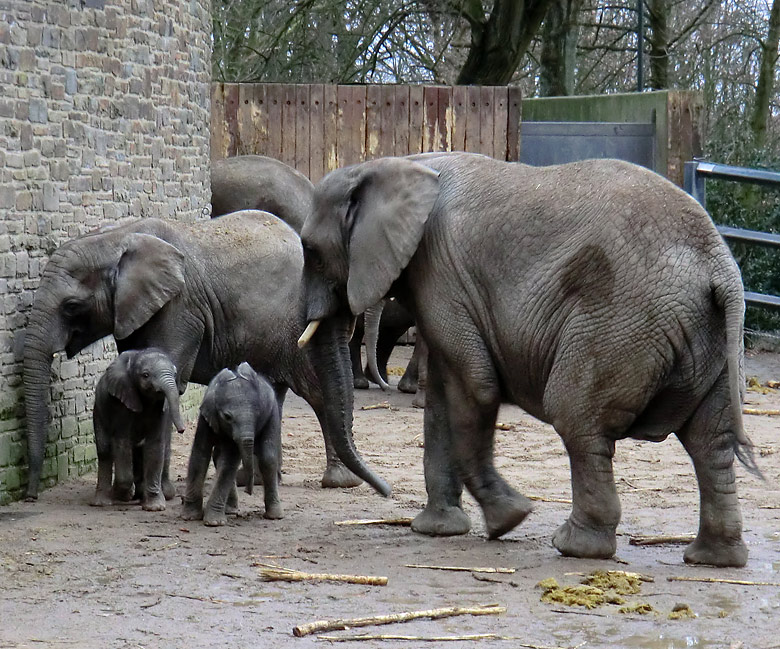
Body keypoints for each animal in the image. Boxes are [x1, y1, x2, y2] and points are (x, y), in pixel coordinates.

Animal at [91, 346, 186, 508]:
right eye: (145, 375)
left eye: (175, 374)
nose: (182, 430)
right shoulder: (121, 402)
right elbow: (121, 441)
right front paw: (124, 495)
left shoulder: (161, 408)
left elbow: (155, 445)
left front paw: (155, 507)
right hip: (98, 412)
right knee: (105, 450)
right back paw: (104, 502)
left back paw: (139, 496)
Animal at [181, 362, 282, 524]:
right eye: (227, 417)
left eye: (258, 415)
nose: (248, 491)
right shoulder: (207, 417)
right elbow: (200, 454)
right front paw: (190, 517)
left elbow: (229, 461)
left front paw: (213, 522)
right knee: (217, 457)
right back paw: (230, 510)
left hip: (273, 415)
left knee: (268, 458)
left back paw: (274, 516)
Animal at [300, 153, 760, 568]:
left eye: (310, 250)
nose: (387, 492)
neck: (392, 164)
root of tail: (720, 268)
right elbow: (444, 400)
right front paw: (438, 529)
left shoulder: (442, 274)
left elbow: (476, 387)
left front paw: (508, 519)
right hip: (709, 339)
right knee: (711, 440)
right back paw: (714, 558)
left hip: (622, 321)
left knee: (576, 415)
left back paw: (576, 547)